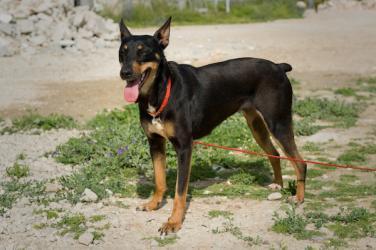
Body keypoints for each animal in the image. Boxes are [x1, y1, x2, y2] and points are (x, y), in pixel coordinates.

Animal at [119, 17, 306, 234]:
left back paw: (299, 198)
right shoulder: (155, 143)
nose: (124, 73)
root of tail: (278, 66)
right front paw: (153, 204)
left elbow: (180, 192)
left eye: (142, 51)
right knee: (274, 153)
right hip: (257, 126)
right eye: (122, 51)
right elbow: (159, 180)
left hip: (278, 123)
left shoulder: (184, 147)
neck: (161, 91)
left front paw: (174, 222)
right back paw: (278, 185)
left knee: (300, 162)